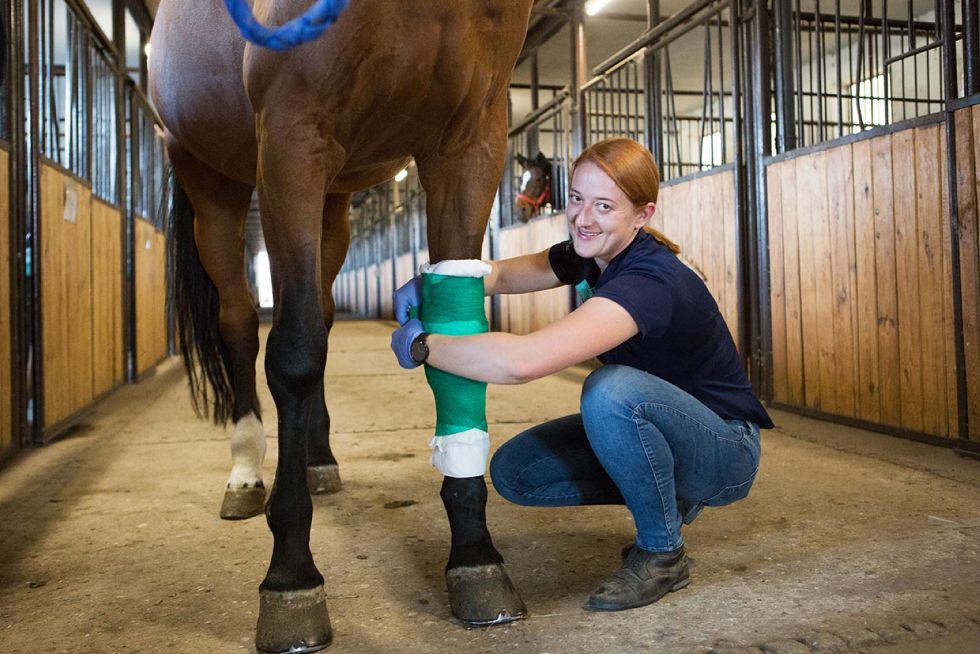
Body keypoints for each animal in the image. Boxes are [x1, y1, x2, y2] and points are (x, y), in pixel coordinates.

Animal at [147, 2, 536, 652]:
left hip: (330, 197)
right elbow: (293, 355)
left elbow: (459, 340)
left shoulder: (470, 145)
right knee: (242, 324)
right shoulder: (292, 135)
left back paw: (317, 458)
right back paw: (246, 475)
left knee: (320, 315)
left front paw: (475, 554)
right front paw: (290, 579)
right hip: (210, 179)